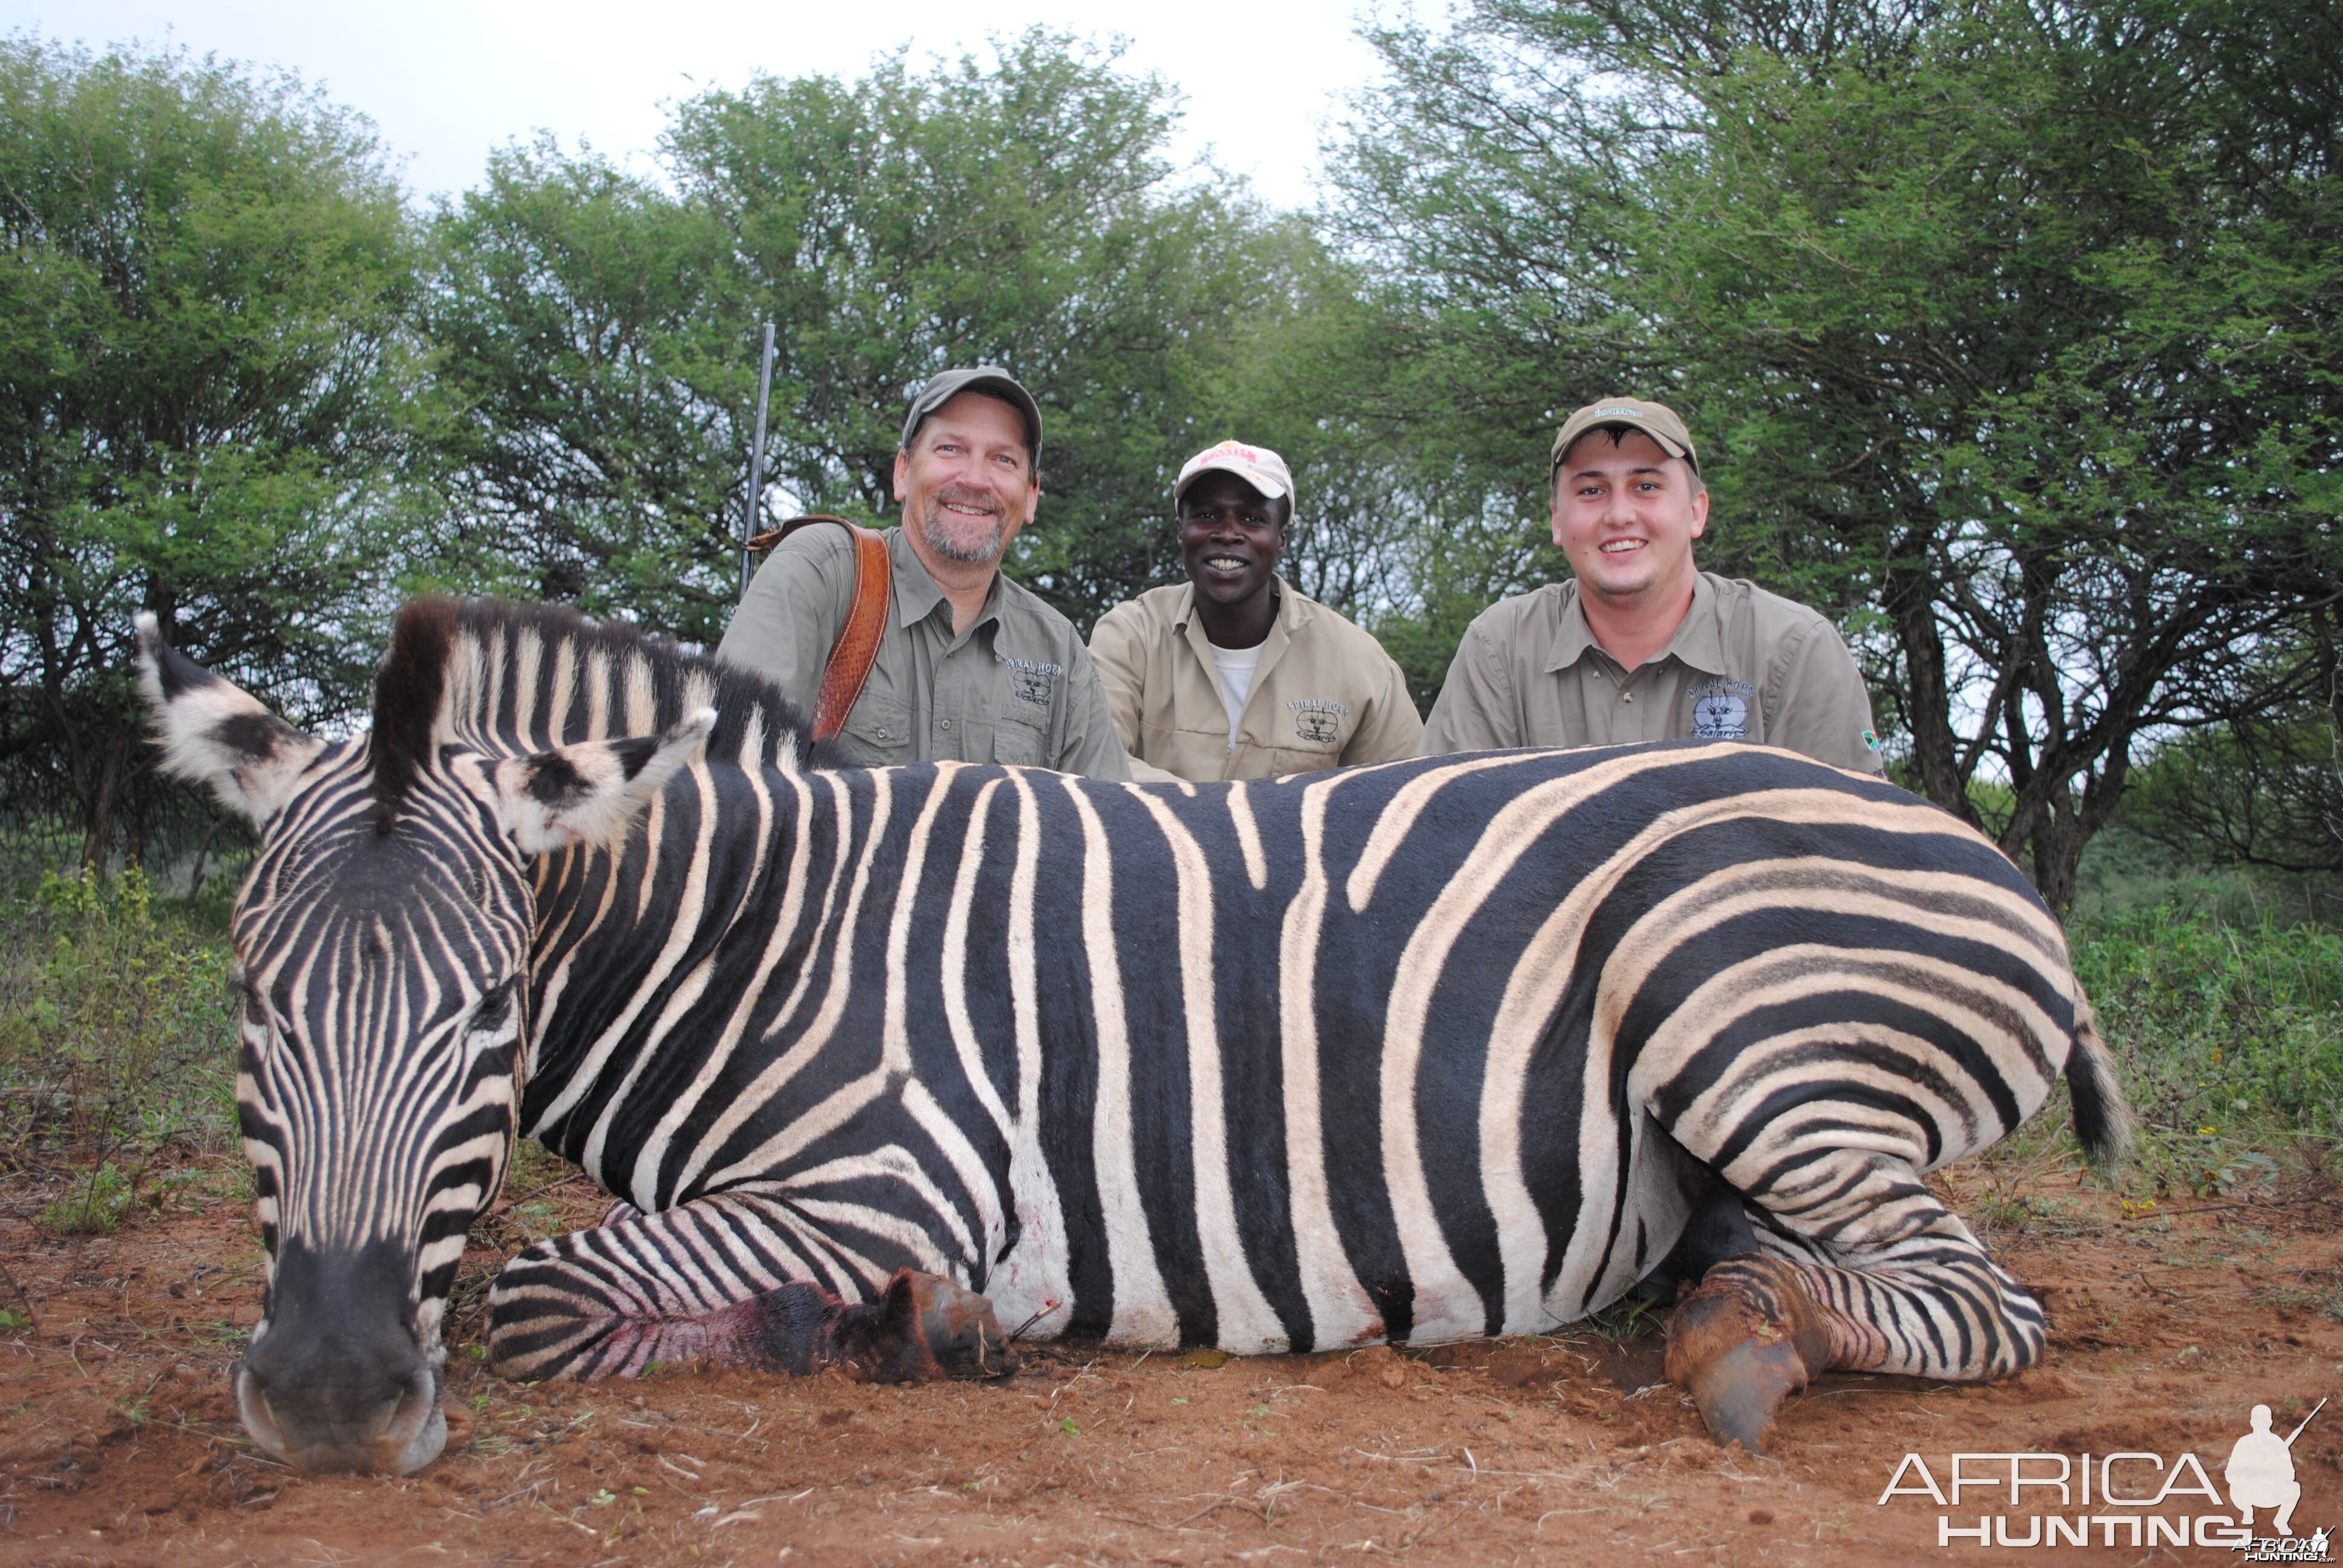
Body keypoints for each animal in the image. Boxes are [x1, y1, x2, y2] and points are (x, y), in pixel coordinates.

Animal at [137, 599, 2137, 1472]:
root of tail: (1957, 835)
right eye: (250, 999)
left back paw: (1748, 1336)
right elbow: (517, 1280)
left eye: (490, 1005)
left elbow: (543, 1294)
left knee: (1983, 1303)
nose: (328, 1400)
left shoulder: (895, 1171)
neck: (763, 931)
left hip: (1739, 1018)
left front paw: (915, 1331)